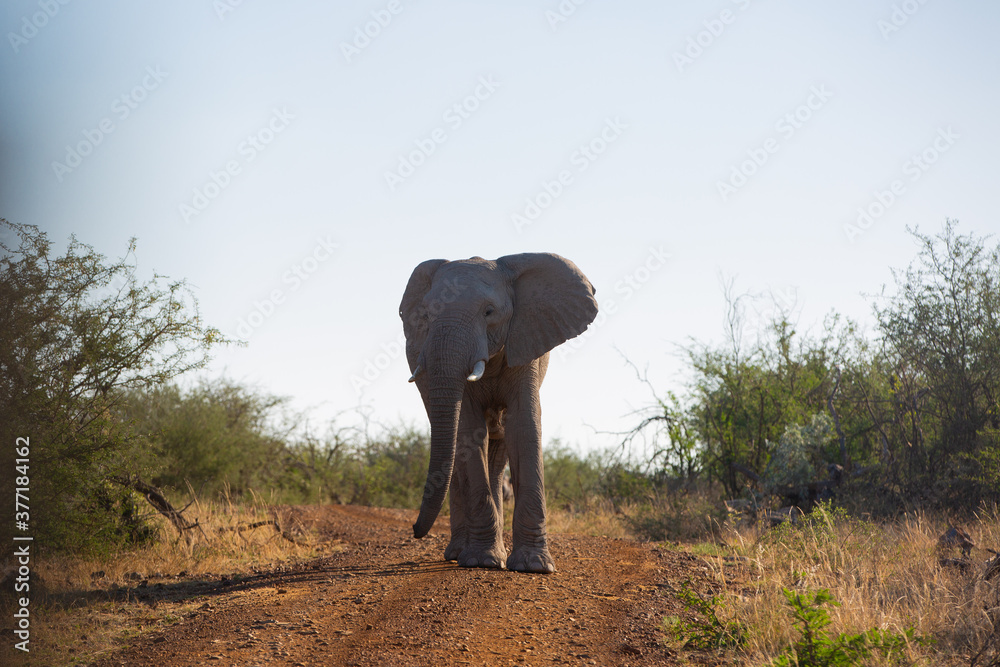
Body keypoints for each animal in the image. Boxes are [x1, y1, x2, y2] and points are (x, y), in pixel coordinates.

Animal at [400, 253, 597, 573]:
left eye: (489, 312)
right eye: (426, 315)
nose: (415, 531)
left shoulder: (526, 343)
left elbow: (523, 424)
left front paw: (533, 566)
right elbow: (468, 431)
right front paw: (481, 561)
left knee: (497, 448)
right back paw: (461, 552)